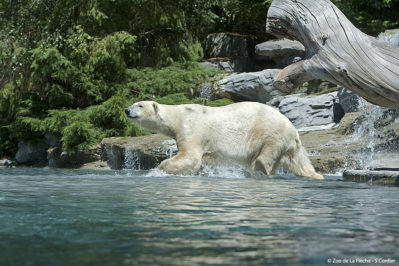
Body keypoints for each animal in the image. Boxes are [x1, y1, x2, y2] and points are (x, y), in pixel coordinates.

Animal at [125, 101, 324, 180]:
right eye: (134, 103)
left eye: (139, 105)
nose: (127, 110)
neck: (178, 115)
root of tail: (293, 129)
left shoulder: (192, 129)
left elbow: (190, 157)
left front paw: (160, 168)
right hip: (288, 145)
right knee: (298, 162)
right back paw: (316, 175)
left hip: (272, 133)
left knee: (264, 156)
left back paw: (258, 169)